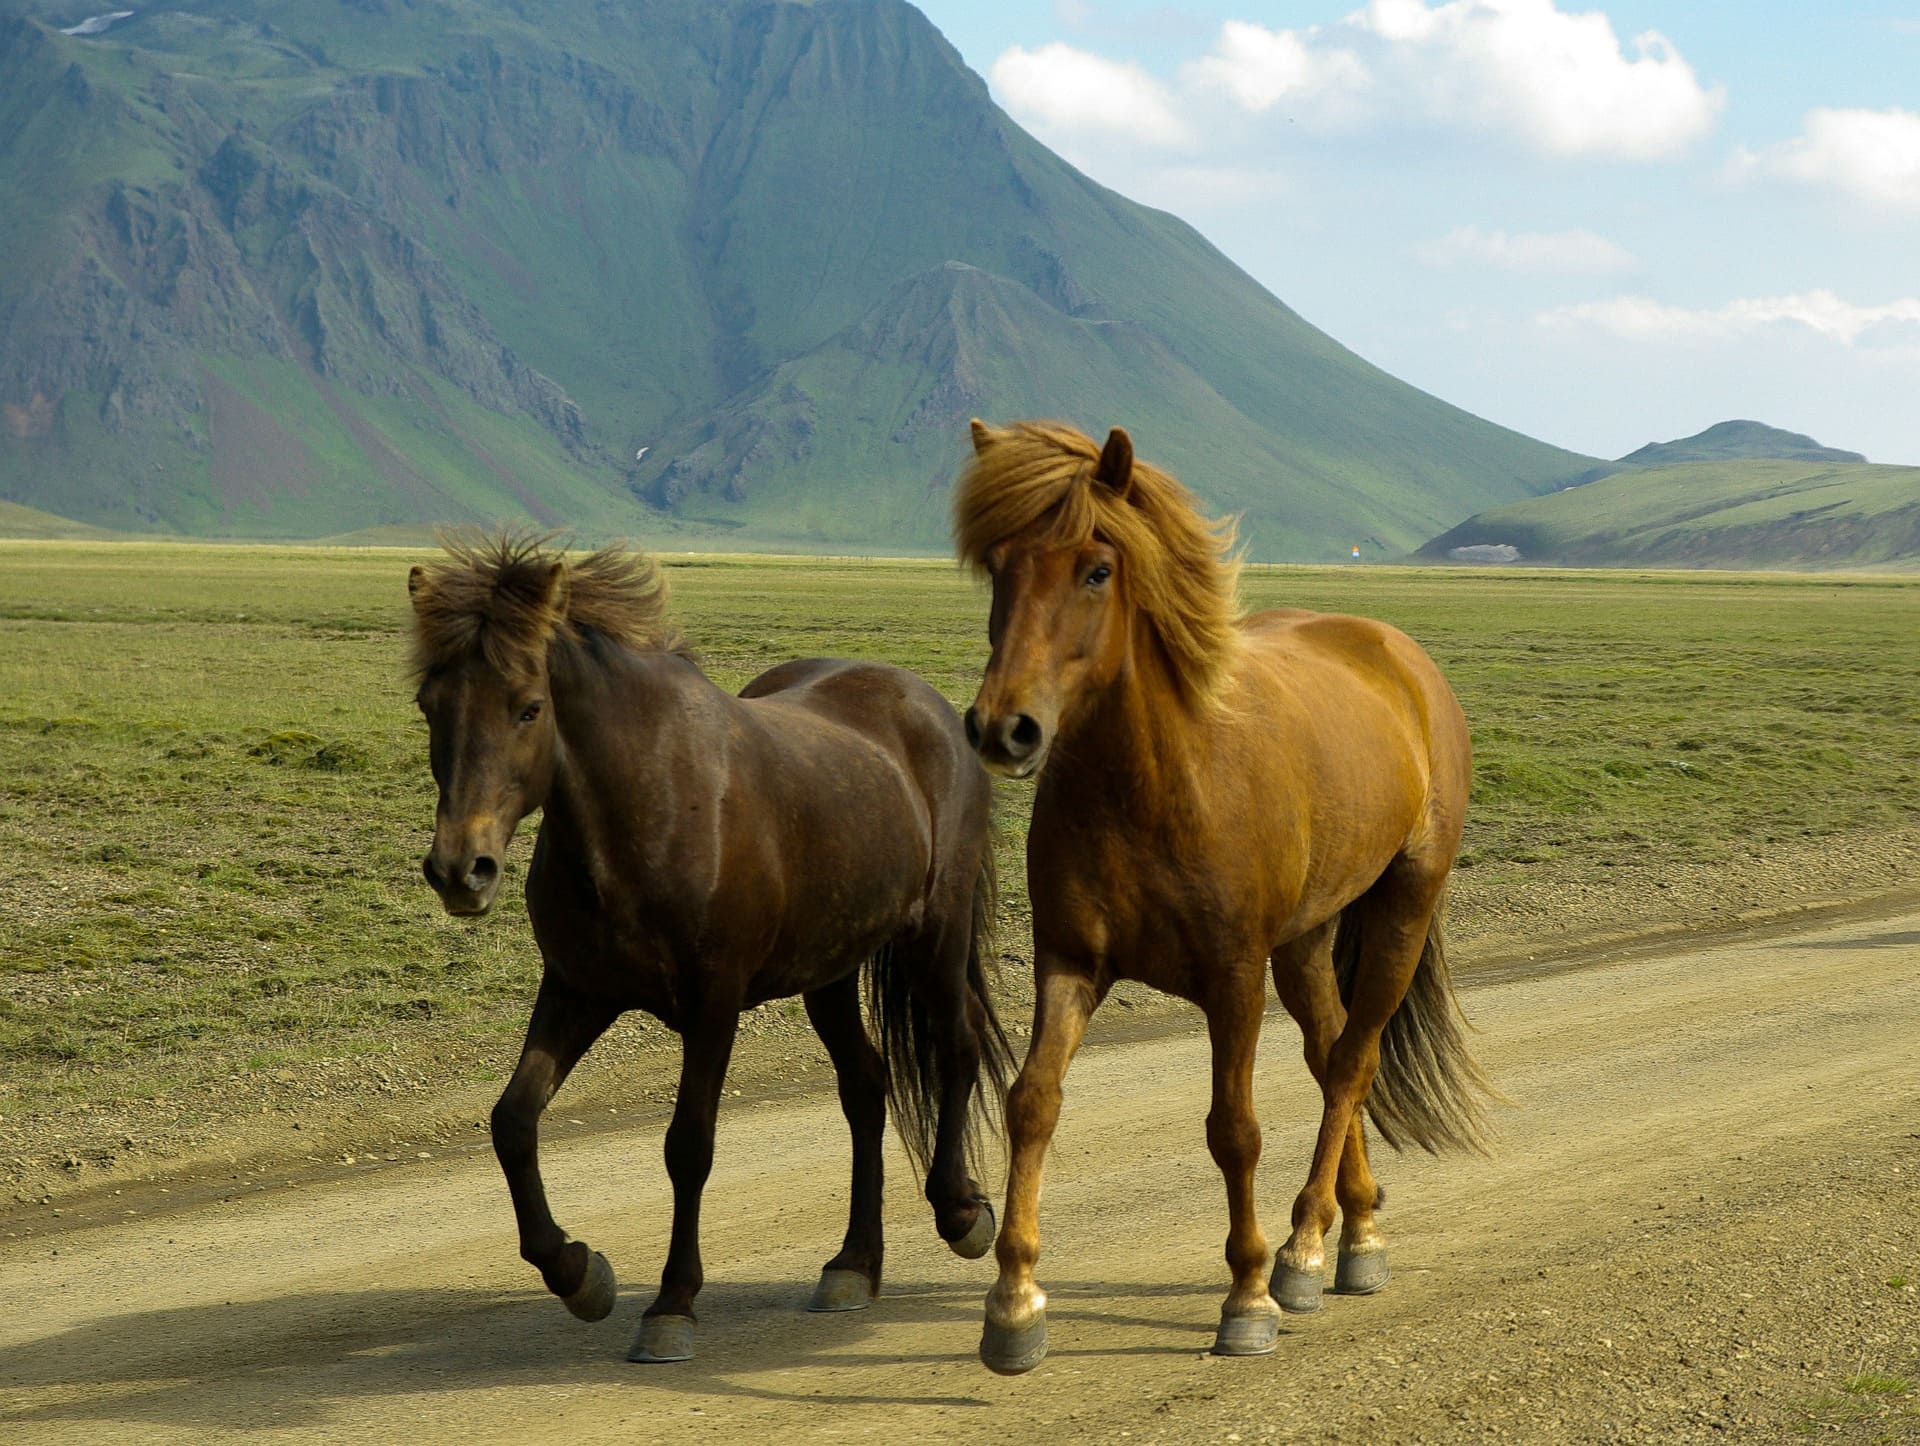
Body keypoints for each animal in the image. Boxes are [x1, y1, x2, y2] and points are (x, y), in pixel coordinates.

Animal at [403, 533, 1006, 1367]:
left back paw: (961, 1213)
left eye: (528, 706)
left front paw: (672, 1305)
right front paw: (578, 1273)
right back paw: (854, 1265)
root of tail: (928, 706)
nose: (461, 870)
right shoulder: (576, 991)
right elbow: (513, 1120)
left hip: (935, 938)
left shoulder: (713, 1005)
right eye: (430, 706)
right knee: (865, 1087)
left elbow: (688, 1147)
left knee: (955, 1048)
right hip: (829, 970)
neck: (646, 807)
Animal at [952, 422, 1489, 1367]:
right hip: (1306, 941)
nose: (1003, 728)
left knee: (1353, 1061)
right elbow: (1033, 1103)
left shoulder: (1232, 978)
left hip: (1403, 906)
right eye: (999, 566)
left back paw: (1305, 1248)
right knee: (1329, 1054)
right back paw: (1356, 1232)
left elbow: (1232, 1129)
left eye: (1096, 570)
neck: (1154, 782)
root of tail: (1399, 654)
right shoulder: (1071, 963)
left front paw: (1248, 1293)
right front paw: (1014, 1302)